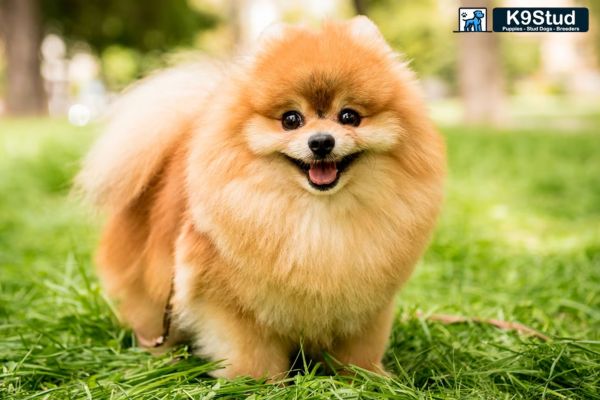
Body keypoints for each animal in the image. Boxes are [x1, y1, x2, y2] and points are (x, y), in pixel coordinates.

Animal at [77, 17, 446, 380]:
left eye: (349, 117)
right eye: (291, 119)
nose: (321, 142)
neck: (318, 214)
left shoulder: (368, 305)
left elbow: (359, 350)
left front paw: (366, 378)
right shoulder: (231, 305)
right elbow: (251, 350)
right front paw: (260, 383)